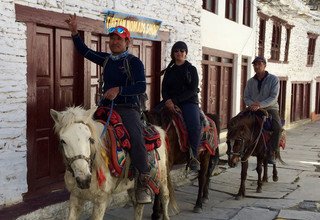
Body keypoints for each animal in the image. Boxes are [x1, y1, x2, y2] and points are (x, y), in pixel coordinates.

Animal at [50, 105, 178, 219]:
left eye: (90, 139)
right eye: (63, 141)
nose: (84, 180)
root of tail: (159, 129)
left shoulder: (101, 200)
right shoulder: (75, 197)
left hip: (162, 178)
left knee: (164, 196)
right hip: (134, 186)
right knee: (138, 206)